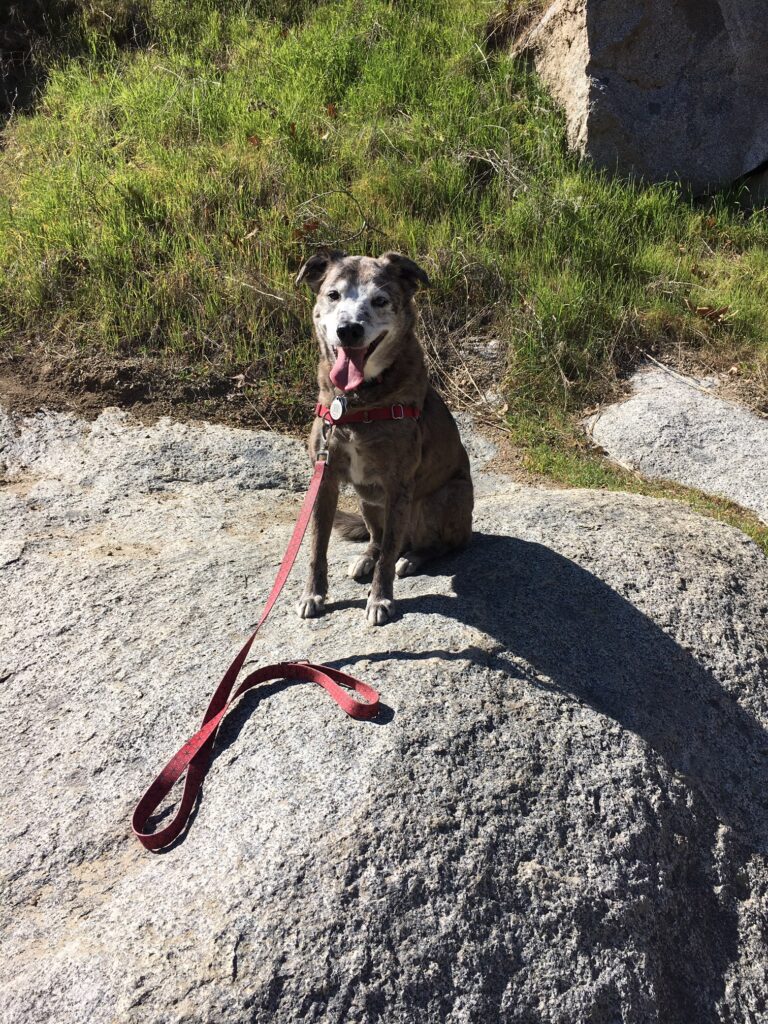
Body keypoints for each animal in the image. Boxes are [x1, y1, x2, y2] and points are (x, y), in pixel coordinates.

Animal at [294, 251, 475, 626]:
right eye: (333, 295)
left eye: (379, 301)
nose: (349, 330)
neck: (357, 400)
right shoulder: (325, 479)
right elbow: (318, 546)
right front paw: (313, 594)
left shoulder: (398, 485)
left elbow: (389, 555)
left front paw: (380, 600)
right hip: (369, 502)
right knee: (379, 540)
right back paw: (367, 557)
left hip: (442, 499)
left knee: (431, 546)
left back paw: (413, 558)